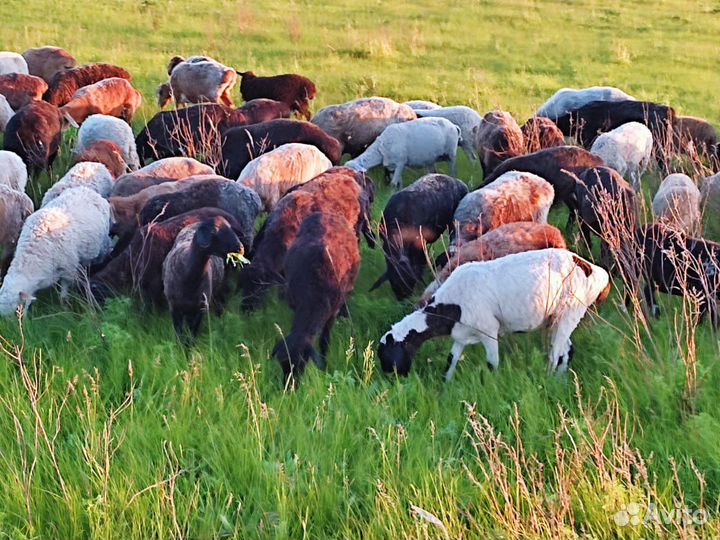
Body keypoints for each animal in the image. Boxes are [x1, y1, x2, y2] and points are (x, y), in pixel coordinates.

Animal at [0, 187, 112, 315]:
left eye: (16, 310)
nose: (17, 322)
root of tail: (87, 190)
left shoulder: (68, 269)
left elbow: (64, 292)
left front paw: (64, 308)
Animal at [272, 212, 361, 381]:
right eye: (282, 364)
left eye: (302, 363)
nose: (289, 385)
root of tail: (326, 213)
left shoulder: (331, 312)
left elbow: (324, 341)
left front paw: (325, 366)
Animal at [378, 248, 611, 379]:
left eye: (388, 353)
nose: (392, 379)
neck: (451, 307)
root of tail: (595, 271)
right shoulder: (462, 334)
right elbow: (451, 360)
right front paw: (445, 385)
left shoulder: (489, 330)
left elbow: (492, 363)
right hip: (556, 319)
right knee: (567, 350)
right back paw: (559, 380)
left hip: (570, 312)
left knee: (555, 354)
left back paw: (548, 379)